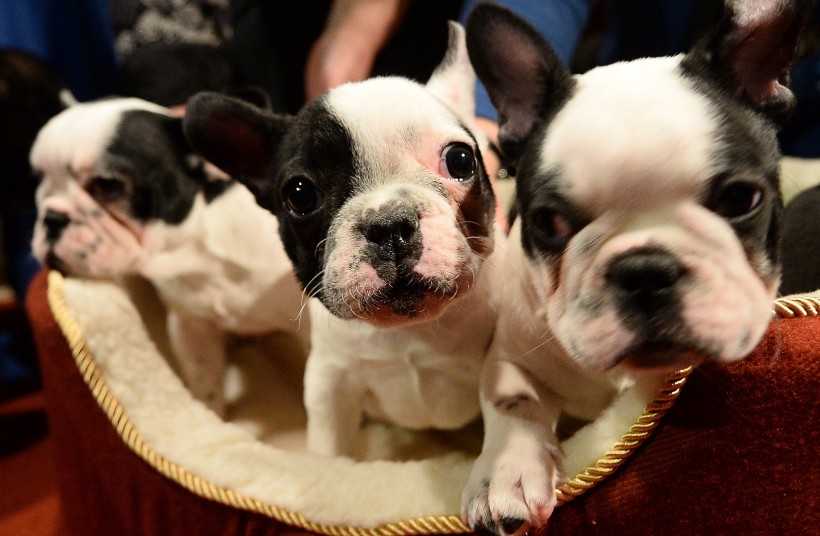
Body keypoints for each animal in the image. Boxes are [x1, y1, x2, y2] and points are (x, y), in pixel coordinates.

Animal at [29, 97, 308, 414]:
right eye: (38, 183)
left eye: (108, 185)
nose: (52, 217)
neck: (199, 253)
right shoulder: (191, 329)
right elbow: (205, 385)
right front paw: (212, 414)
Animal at [185, 23, 502, 458]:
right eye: (300, 194)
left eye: (460, 160)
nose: (389, 226)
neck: (408, 333)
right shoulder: (329, 385)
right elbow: (332, 453)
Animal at [462, 0, 808, 532]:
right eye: (549, 222)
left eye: (740, 199)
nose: (645, 270)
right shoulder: (509, 357)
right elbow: (514, 404)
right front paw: (504, 474)